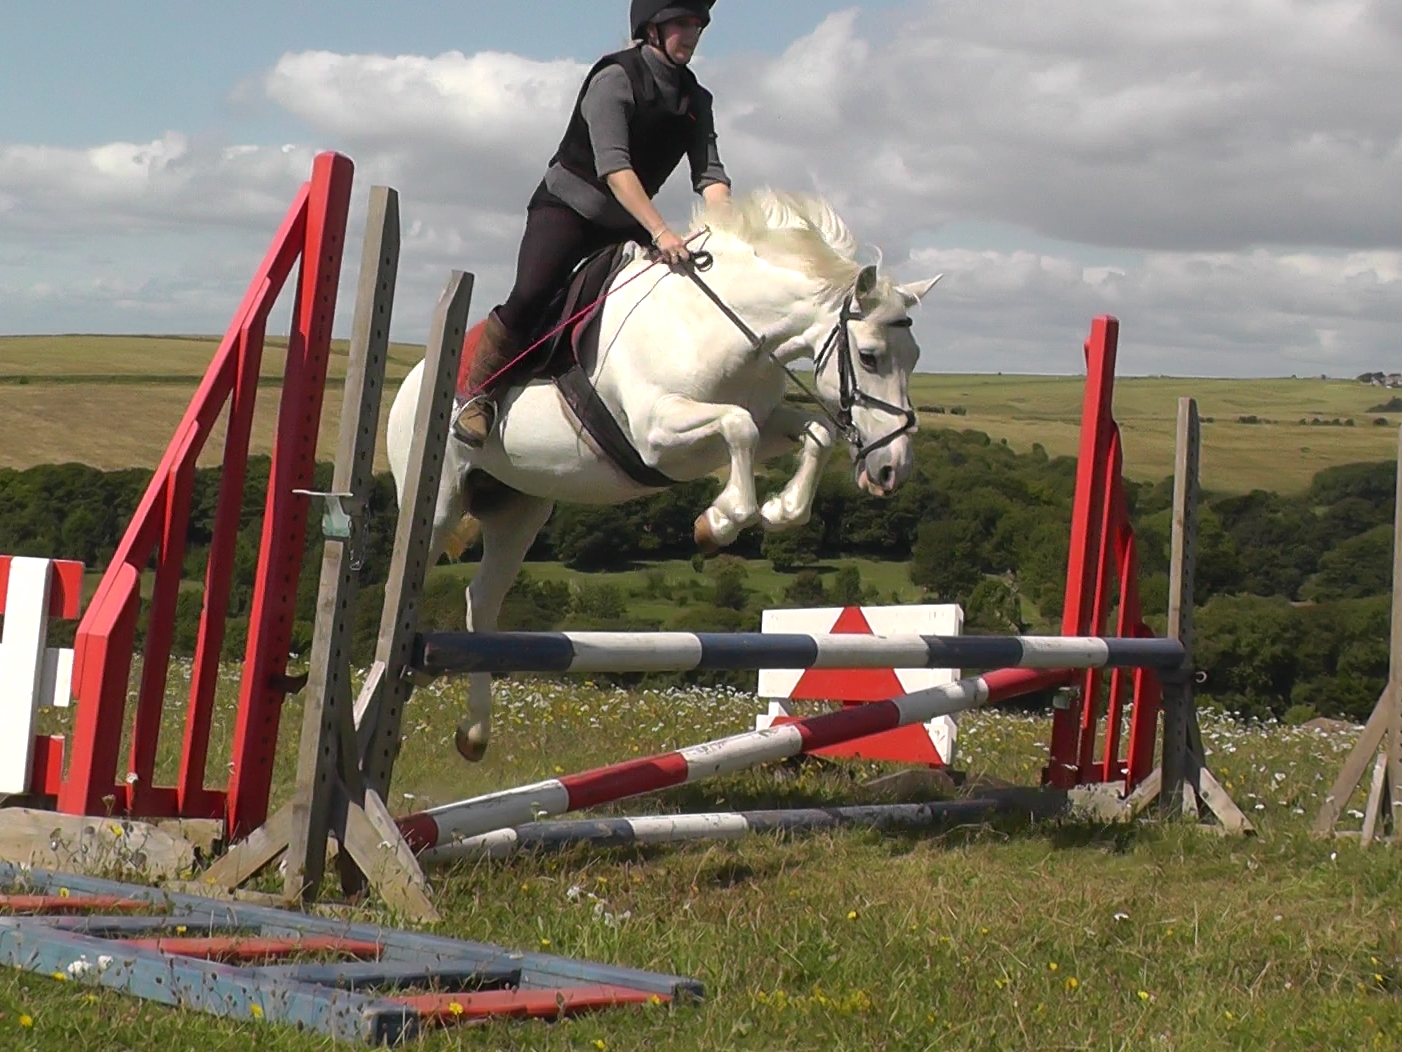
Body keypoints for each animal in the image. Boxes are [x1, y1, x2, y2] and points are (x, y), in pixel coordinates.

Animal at [386, 189, 941, 763]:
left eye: (915, 357)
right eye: (870, 357)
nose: (891, 469)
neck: (721, 327)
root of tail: (417, 377)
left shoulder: (760, 421)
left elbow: (814, 431)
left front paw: (778, 512)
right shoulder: (656, 435)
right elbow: (738, 427)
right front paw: (720, 522)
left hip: (519, 510)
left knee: (482, 599)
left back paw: (470, 728)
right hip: (438, 498)